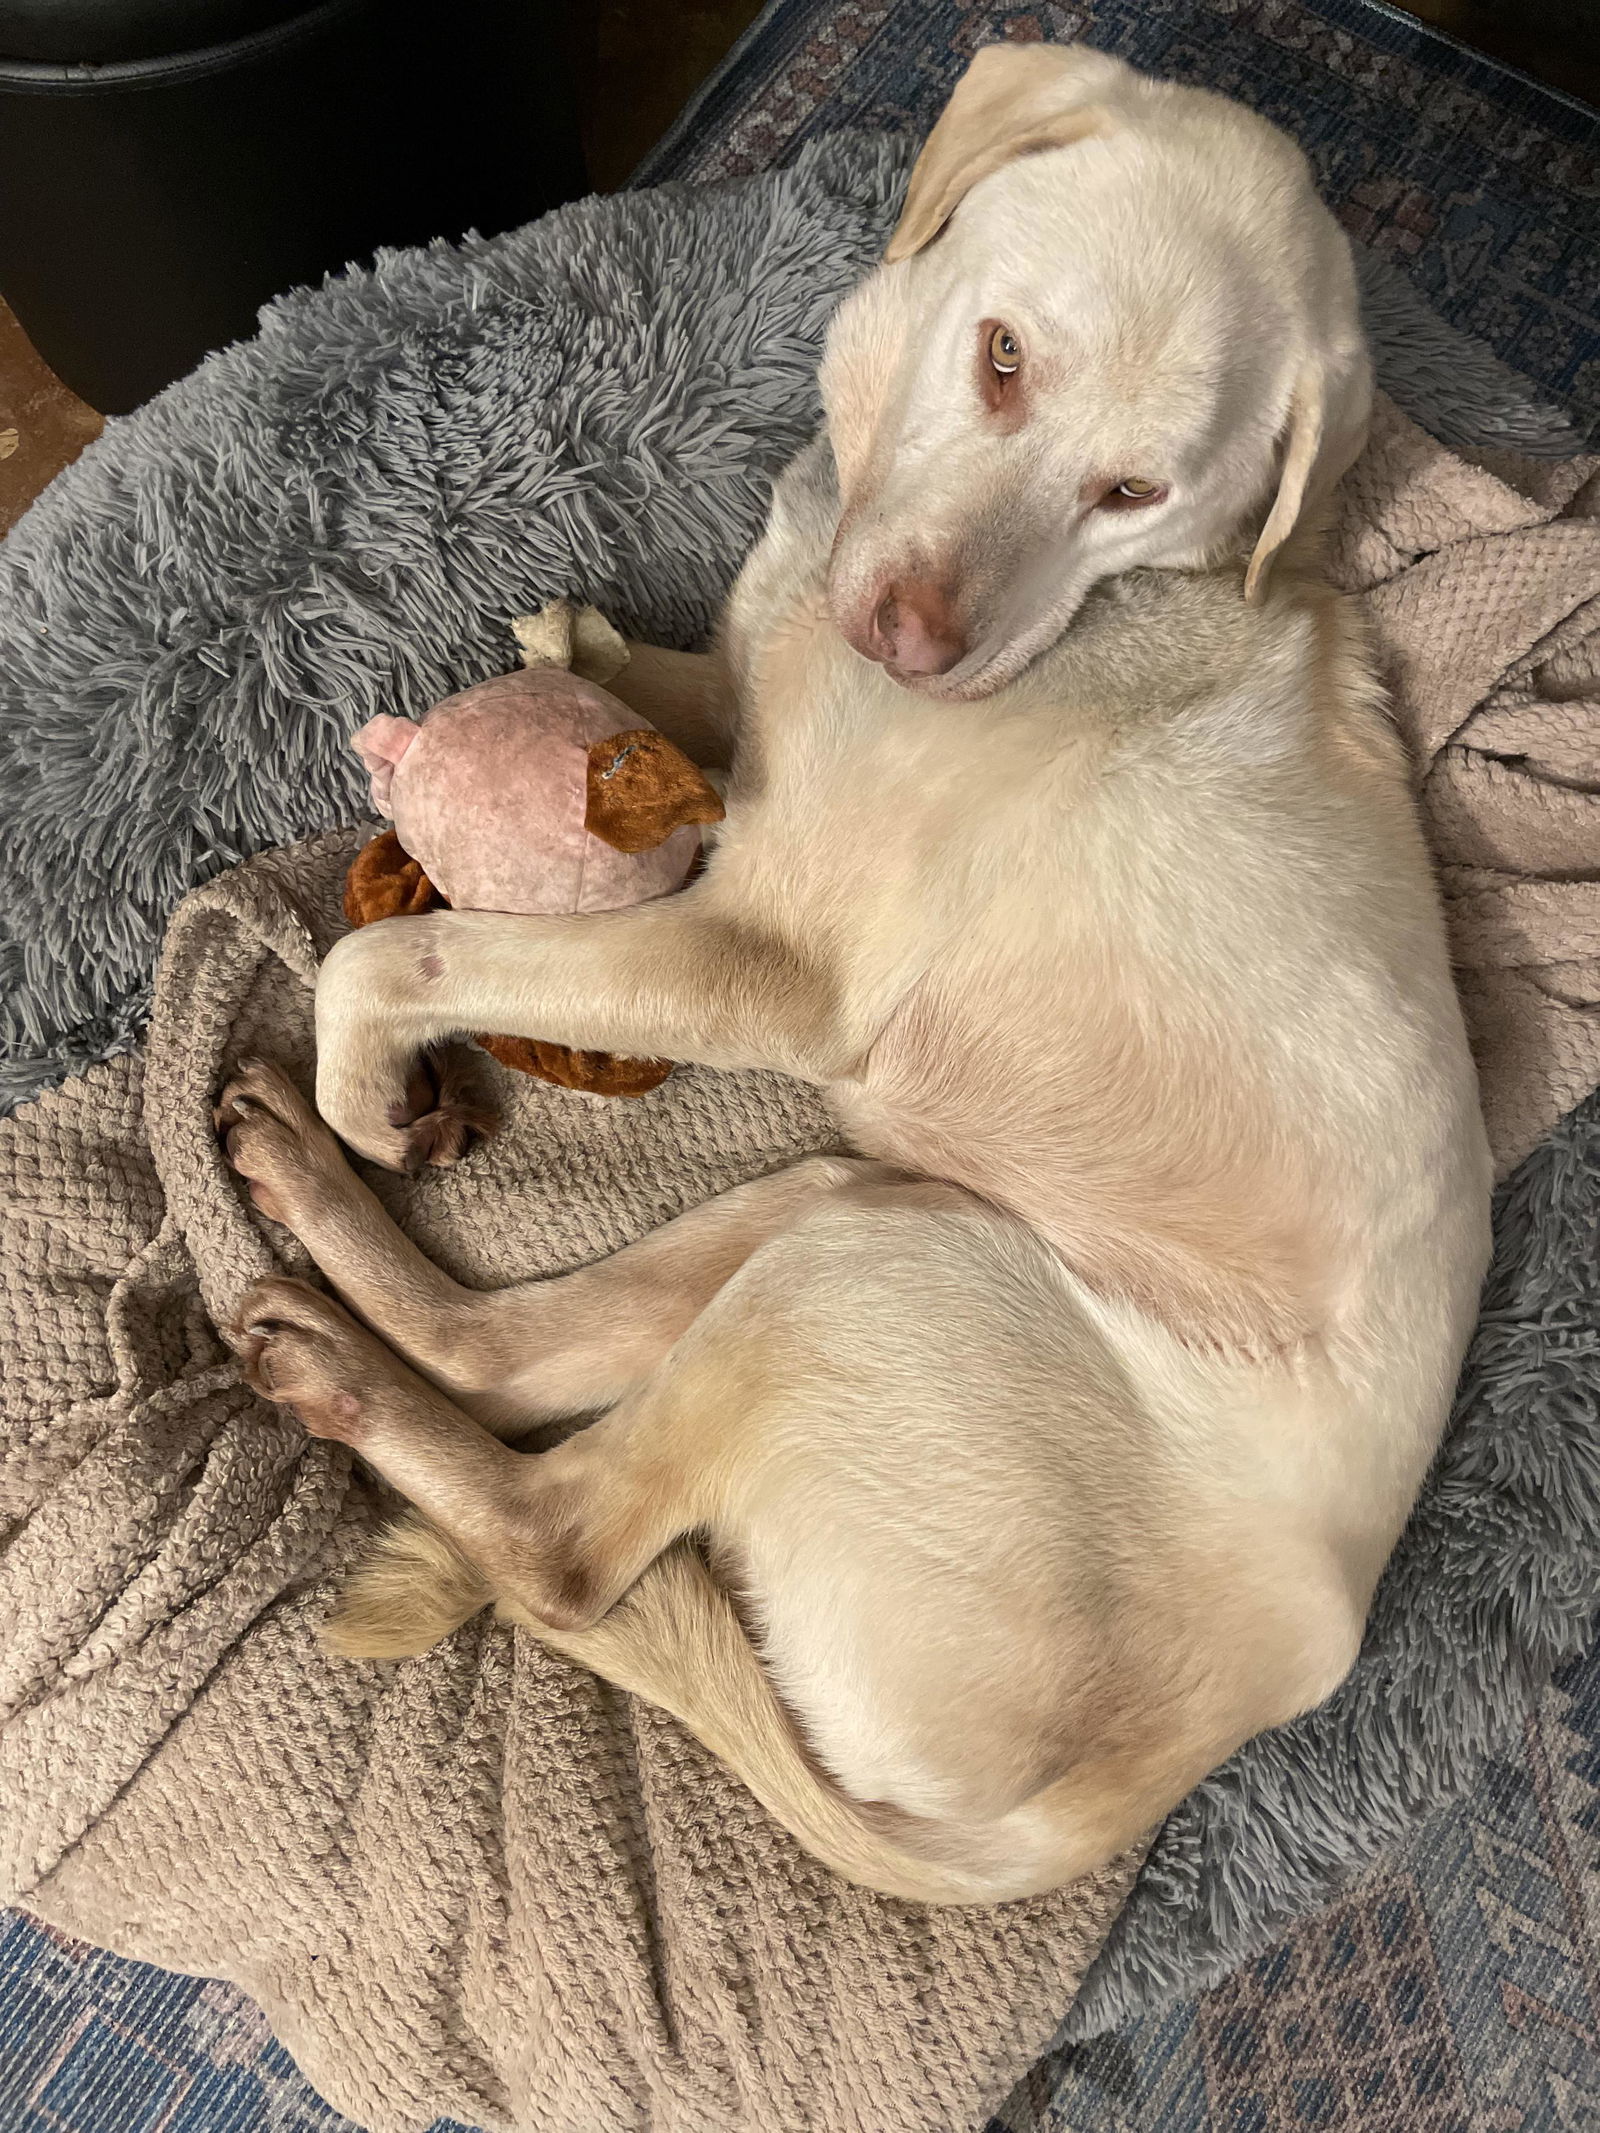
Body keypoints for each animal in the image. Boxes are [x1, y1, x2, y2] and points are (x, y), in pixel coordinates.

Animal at [219, 50, 1501, 1911]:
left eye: (1138, 497)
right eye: (1004, 359)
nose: (909, 638)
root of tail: (1092, 1807)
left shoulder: (762, 956)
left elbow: (404, 946)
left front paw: (365, 1070)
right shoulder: (752, 724)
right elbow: (691, 674)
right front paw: (582, 648)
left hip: (875, 1292)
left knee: (565, 1536)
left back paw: (348, 1335)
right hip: (863, 1209)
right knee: (507, 1346)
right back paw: (317, 1237)